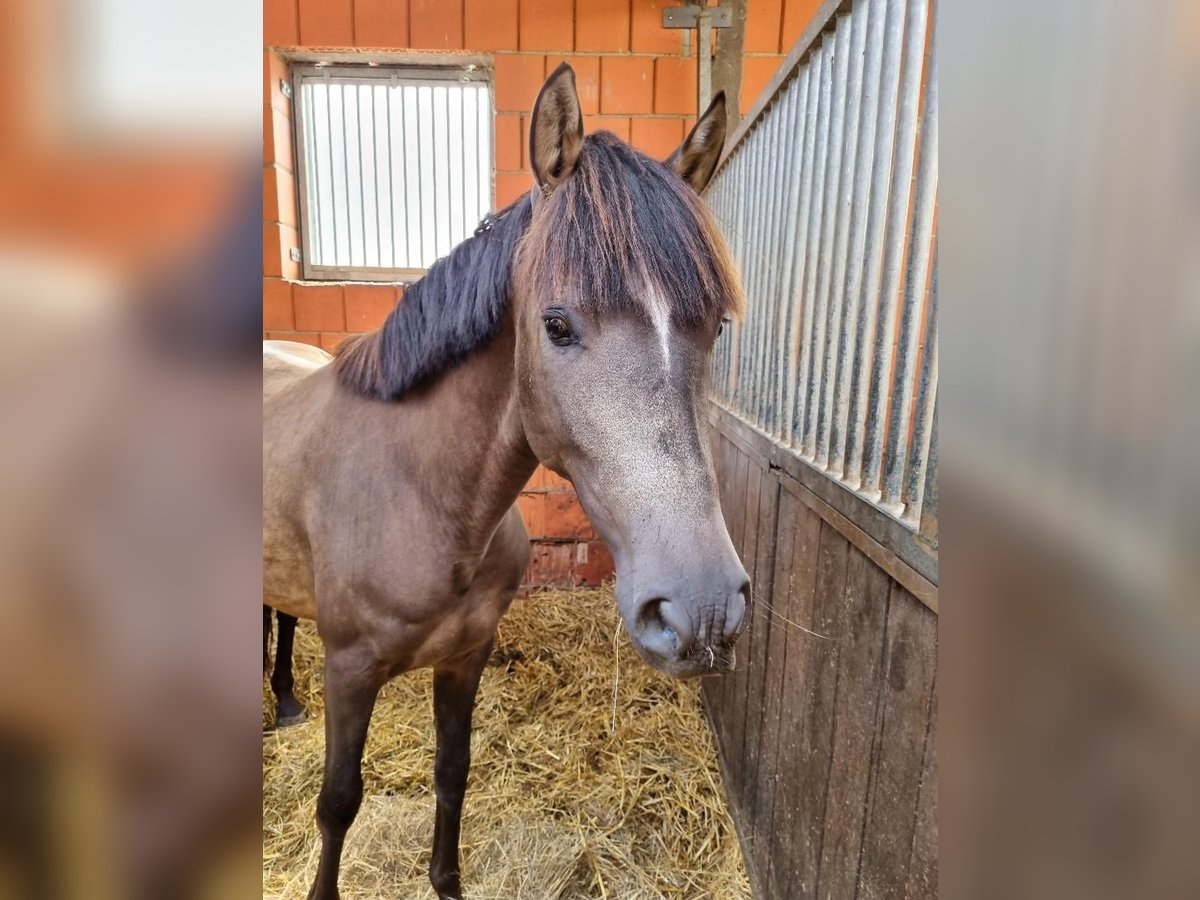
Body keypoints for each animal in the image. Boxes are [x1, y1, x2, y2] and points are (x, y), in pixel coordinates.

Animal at [265, 65, 748, 900]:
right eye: (555, 325)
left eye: (713, 324)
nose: (704, 611)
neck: (424, 495)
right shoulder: (351, 670)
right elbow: (338, 802)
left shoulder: (467, 656)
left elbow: (453, 773)